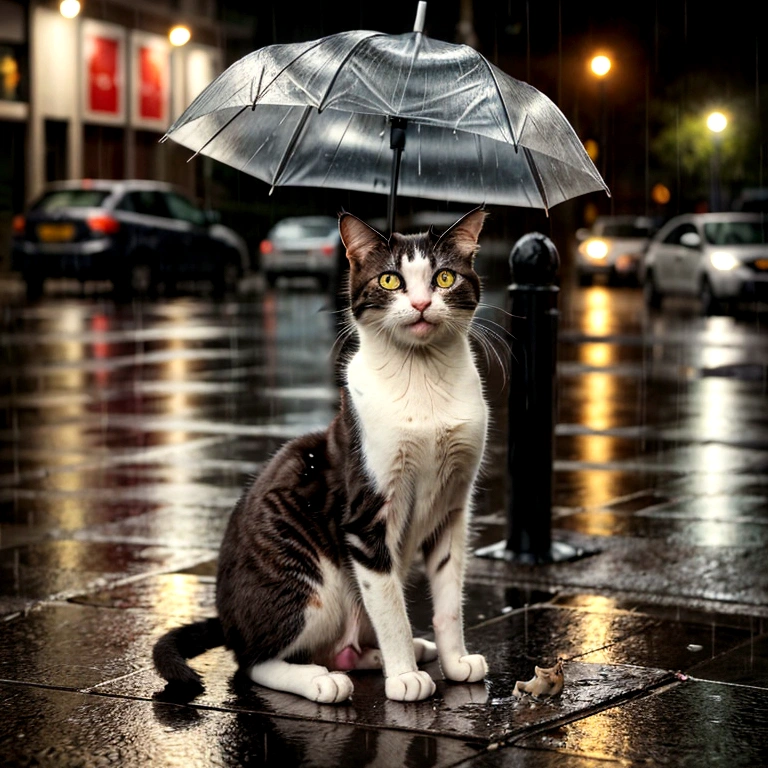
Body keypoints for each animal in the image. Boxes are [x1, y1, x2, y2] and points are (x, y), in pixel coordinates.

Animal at [153, 207, 488, 704]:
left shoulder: (452, 509)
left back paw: (392, 652)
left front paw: (455, 661)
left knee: (339, 647)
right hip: (309, 580)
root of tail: (230, 622)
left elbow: (448, 599)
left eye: (444, 277)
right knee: (254, 662)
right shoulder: (365, 517)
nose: (422, 304)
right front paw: (404, 678)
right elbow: (389, 606)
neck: (423, 380)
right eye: (390, 280)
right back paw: (323, 679)